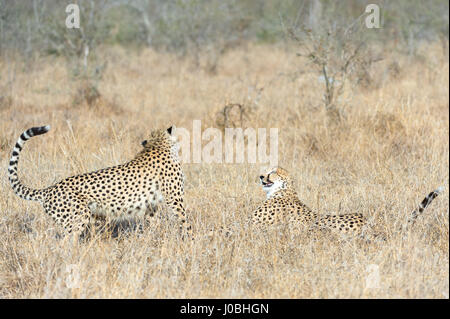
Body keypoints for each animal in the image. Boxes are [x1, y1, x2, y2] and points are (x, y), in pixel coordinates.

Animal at [7, 125, 192, 240]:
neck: (158, 145)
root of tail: (50, 189)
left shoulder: (151, 205)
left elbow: (151, 223)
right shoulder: (175, 199)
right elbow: (185, 221)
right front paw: (190, 241)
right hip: (78, 218)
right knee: (65, 243)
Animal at [253, 168, 442, 238]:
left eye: (273, 172)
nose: (261, 176)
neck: (285, 190)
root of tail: (370, 224)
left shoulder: (252, 226)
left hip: (320, 228)